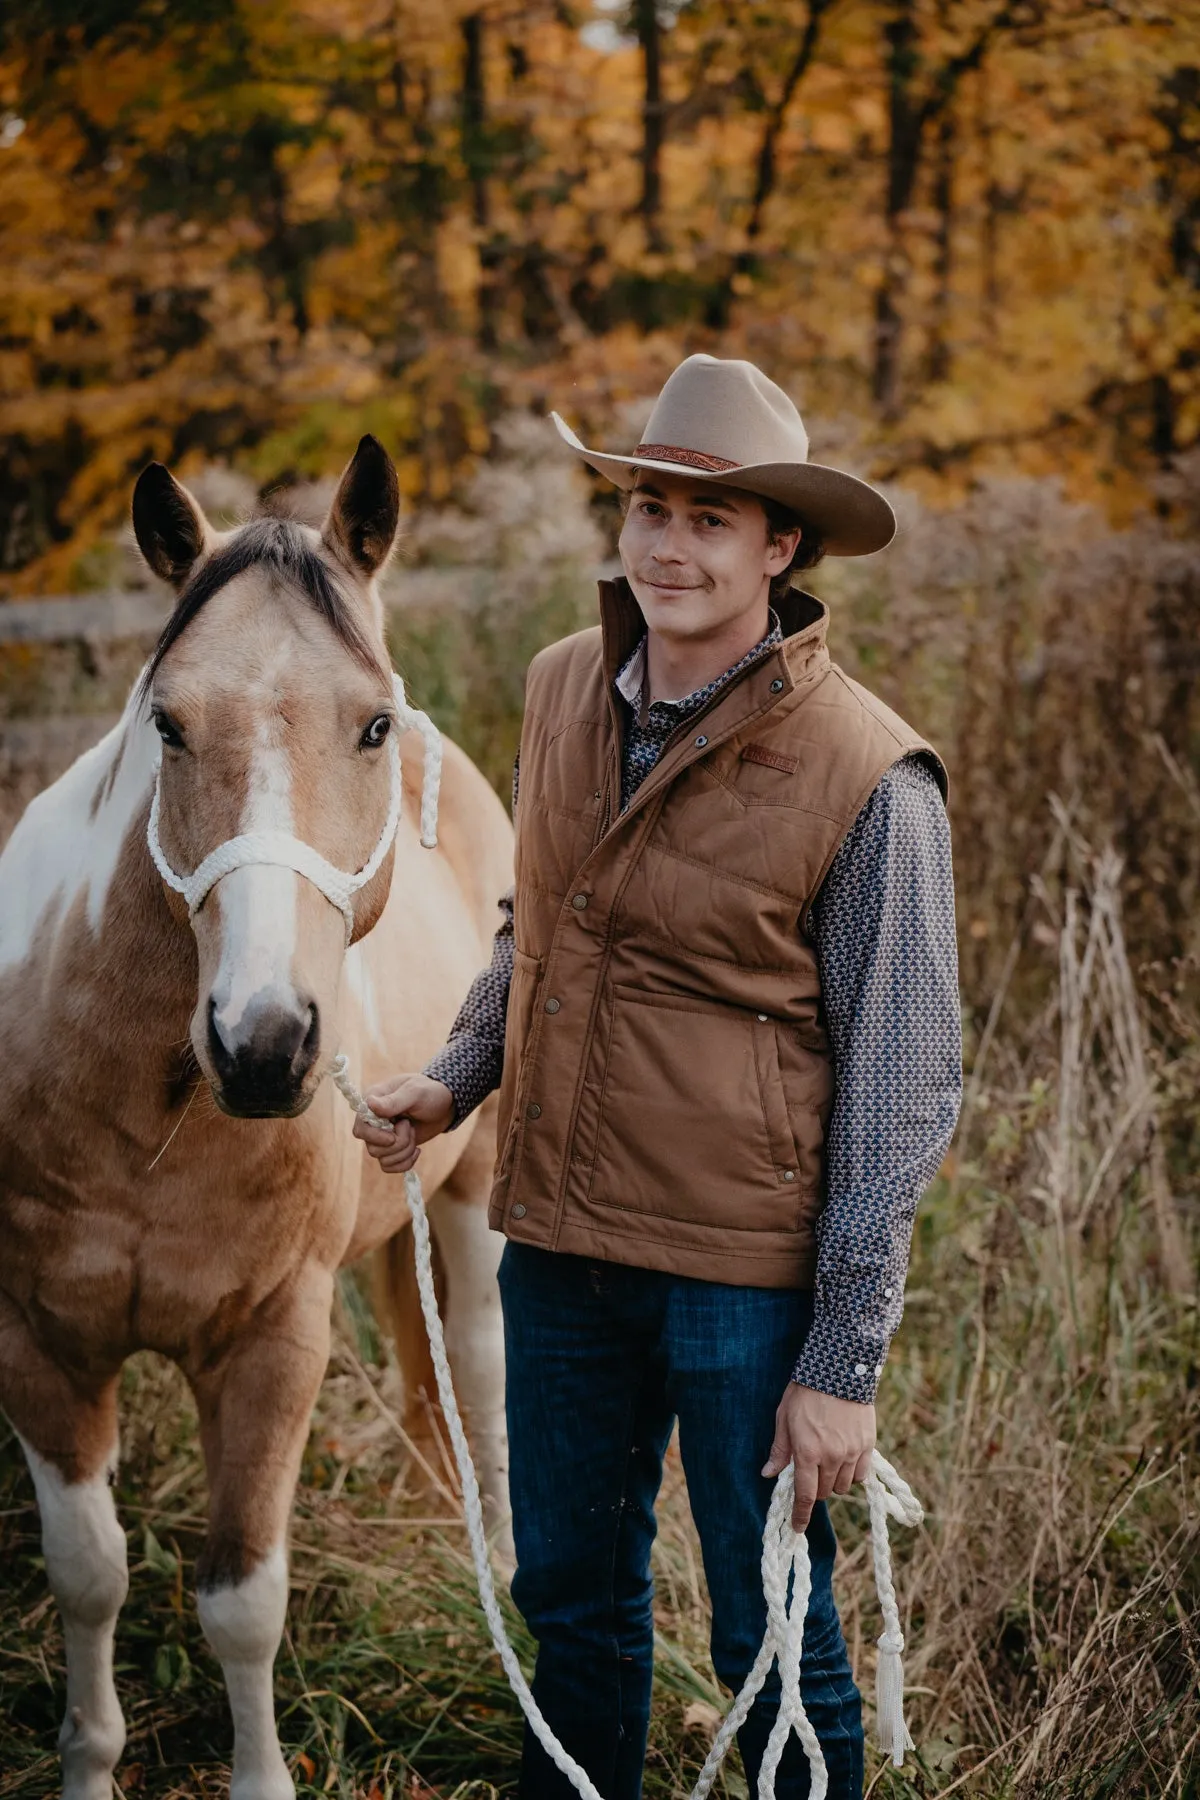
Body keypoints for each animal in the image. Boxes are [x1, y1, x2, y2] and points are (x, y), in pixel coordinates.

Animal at [0, 435, 510, 1800]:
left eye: (371, 723)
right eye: (167, 721)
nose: (265, 1043)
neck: (145, 1116)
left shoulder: (277, 1343)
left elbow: (241, 1603)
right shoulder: (38, 1346)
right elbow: (91, 1576)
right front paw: (86, 1765)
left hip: (473, 1198)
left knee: (481, 1373)